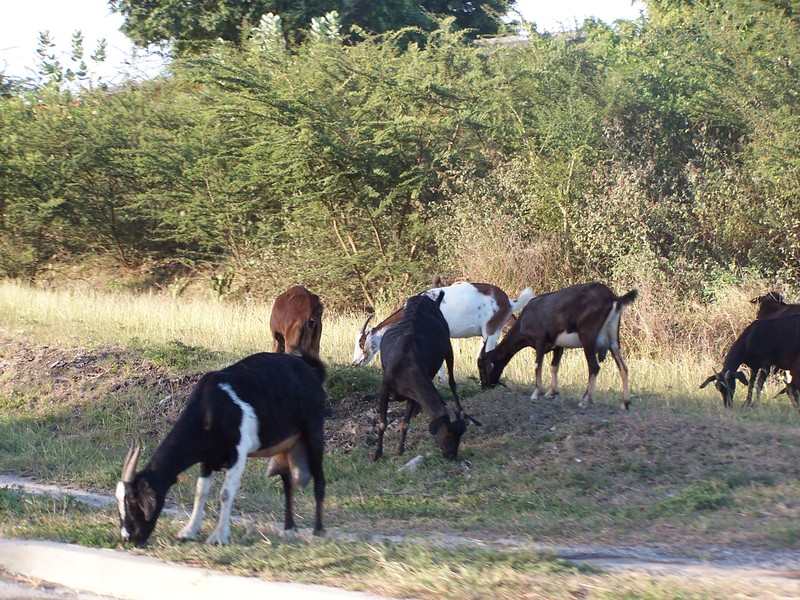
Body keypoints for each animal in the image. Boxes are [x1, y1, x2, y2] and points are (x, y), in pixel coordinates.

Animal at [116, 352, 327, 547]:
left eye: (133, 502)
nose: (128, 538)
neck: (210, 409)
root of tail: (311, 369)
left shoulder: (238, 453)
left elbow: (225, 493)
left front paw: (219, 537)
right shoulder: (207, 458)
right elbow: (201, 491)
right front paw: (189, 531)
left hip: (314, 431)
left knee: (319, 480)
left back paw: (318, 530)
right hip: (286, 445)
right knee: (287, 482)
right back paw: (289, 529)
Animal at [373, 291, 472, 461]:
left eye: (459, 438)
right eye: (448, 435)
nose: (451, 455)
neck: (406, 364)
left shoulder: (412, 394)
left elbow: (405, 423)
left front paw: (400, 449)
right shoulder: (385, 388)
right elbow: (382, 423)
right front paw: (377, 454)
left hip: (448, 348)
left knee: (452, 382)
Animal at [478, 283, 638, 409]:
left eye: (484, 365)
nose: (486, 386)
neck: (526, 319)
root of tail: (613, 298)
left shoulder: (540, 341)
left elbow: (538, 365)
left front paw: (536, 393)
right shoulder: (558, 346)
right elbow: (554, 366)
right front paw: (551, 392)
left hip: (588, 338)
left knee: (594, 367)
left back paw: (585, 400)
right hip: (613, 340)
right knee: (623, 367)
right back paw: (625, 403)